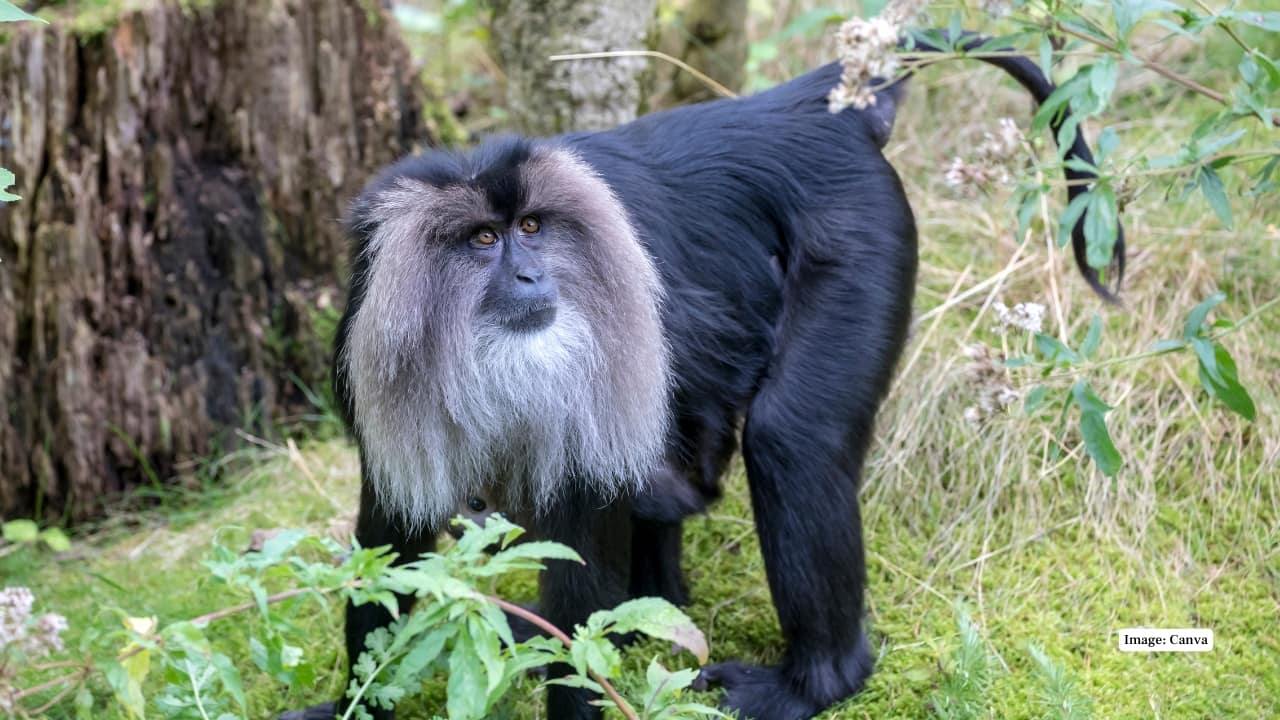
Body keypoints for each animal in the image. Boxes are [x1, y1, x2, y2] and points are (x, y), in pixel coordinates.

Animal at [281, 33, 1123, 720]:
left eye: (531, 228)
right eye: (483, 239)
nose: (529, 277)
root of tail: (798, 106)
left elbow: (583, 551)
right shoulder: (373, 358)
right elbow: (388, 542)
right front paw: (356, 703)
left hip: (859, 240)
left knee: (791, 441)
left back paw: (815, 683)